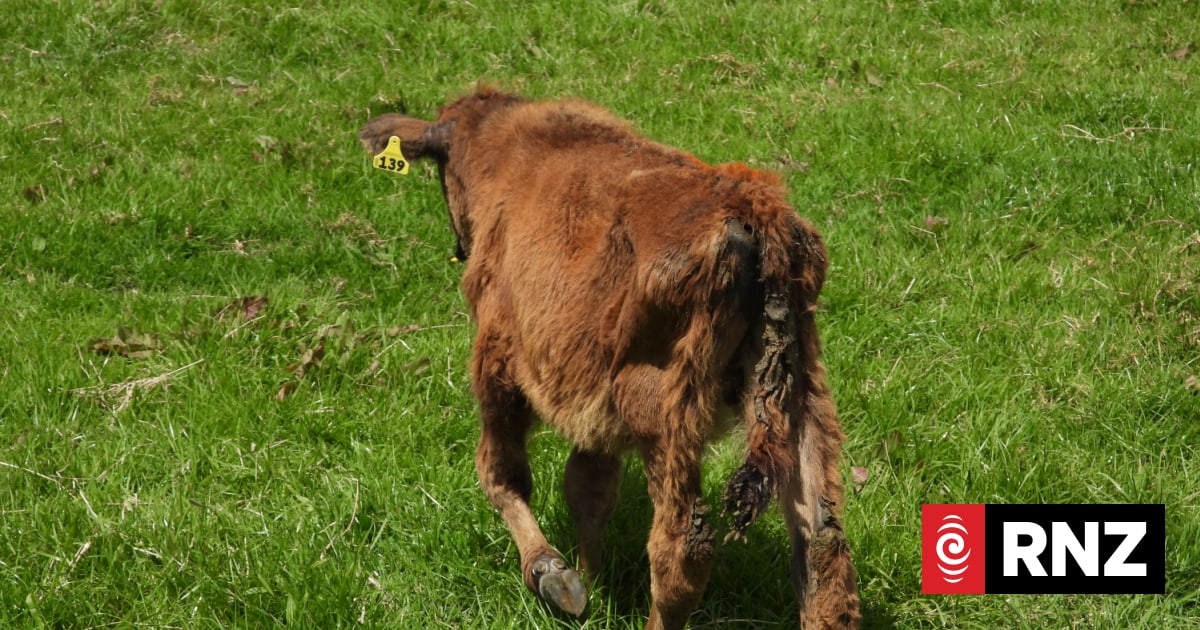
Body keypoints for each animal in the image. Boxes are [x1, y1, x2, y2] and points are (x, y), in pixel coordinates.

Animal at [359, 86, 859, 630]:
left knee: (683, 548)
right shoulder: (592, 403)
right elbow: (589, 488)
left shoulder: (500, 364)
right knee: (823, 548)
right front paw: (590, 582)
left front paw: (554, 575)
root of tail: (757, 211)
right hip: (800, 398)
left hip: (663, 415)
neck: (503, 149)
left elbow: (502, 474)